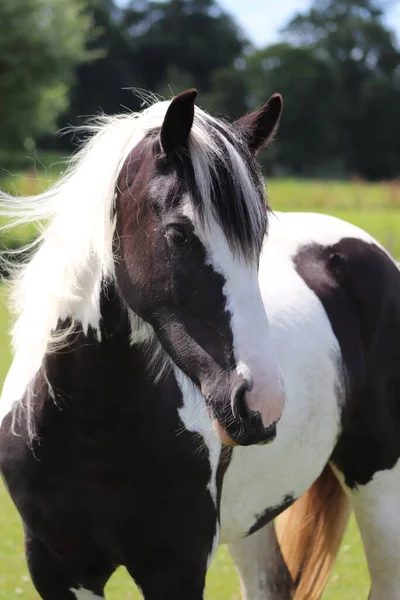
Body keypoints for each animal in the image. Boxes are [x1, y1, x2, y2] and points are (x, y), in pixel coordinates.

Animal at [0, 90, 400, 600]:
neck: (88, 426)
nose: (262, 403)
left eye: (259, 240)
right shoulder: (58, 569)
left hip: (380, 481)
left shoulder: (177, 567)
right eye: (178, 234)